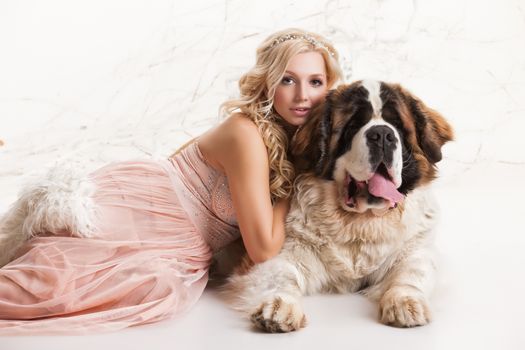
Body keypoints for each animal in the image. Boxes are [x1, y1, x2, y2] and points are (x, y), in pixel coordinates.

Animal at [225, 80, 454, 332]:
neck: (360, 223)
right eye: (353, 125)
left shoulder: (417, 247)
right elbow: (281, 275)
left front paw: (406, 302)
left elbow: (413, 271)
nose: (383, 134)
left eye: (397, 125)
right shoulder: (279, 251)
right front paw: (278, 306)